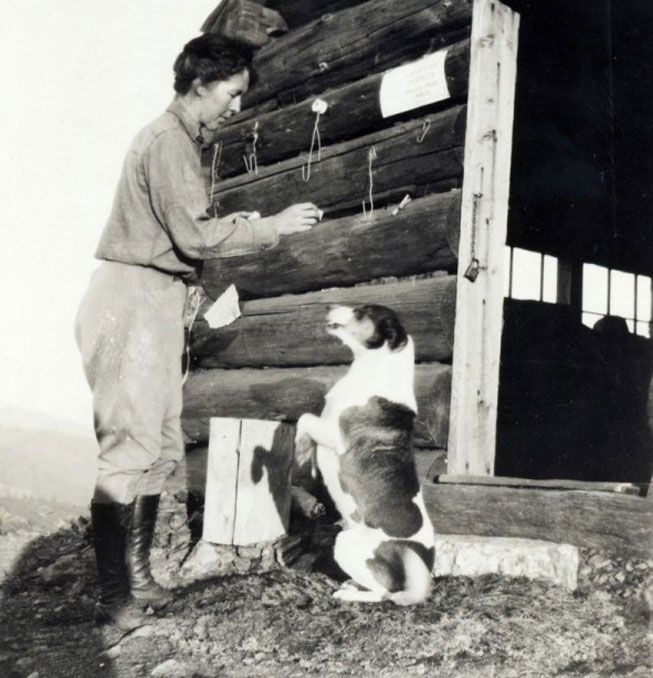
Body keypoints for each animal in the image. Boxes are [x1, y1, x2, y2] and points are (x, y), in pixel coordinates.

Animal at [296, 302, 432, 604]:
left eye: (362, 312)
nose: (328, 305)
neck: (373, 368)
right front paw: (308, 457)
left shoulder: (335, 435)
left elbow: (303, 418)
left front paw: (300, 449)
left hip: (345, 543)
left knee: (383, 594)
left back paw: (348, 594)